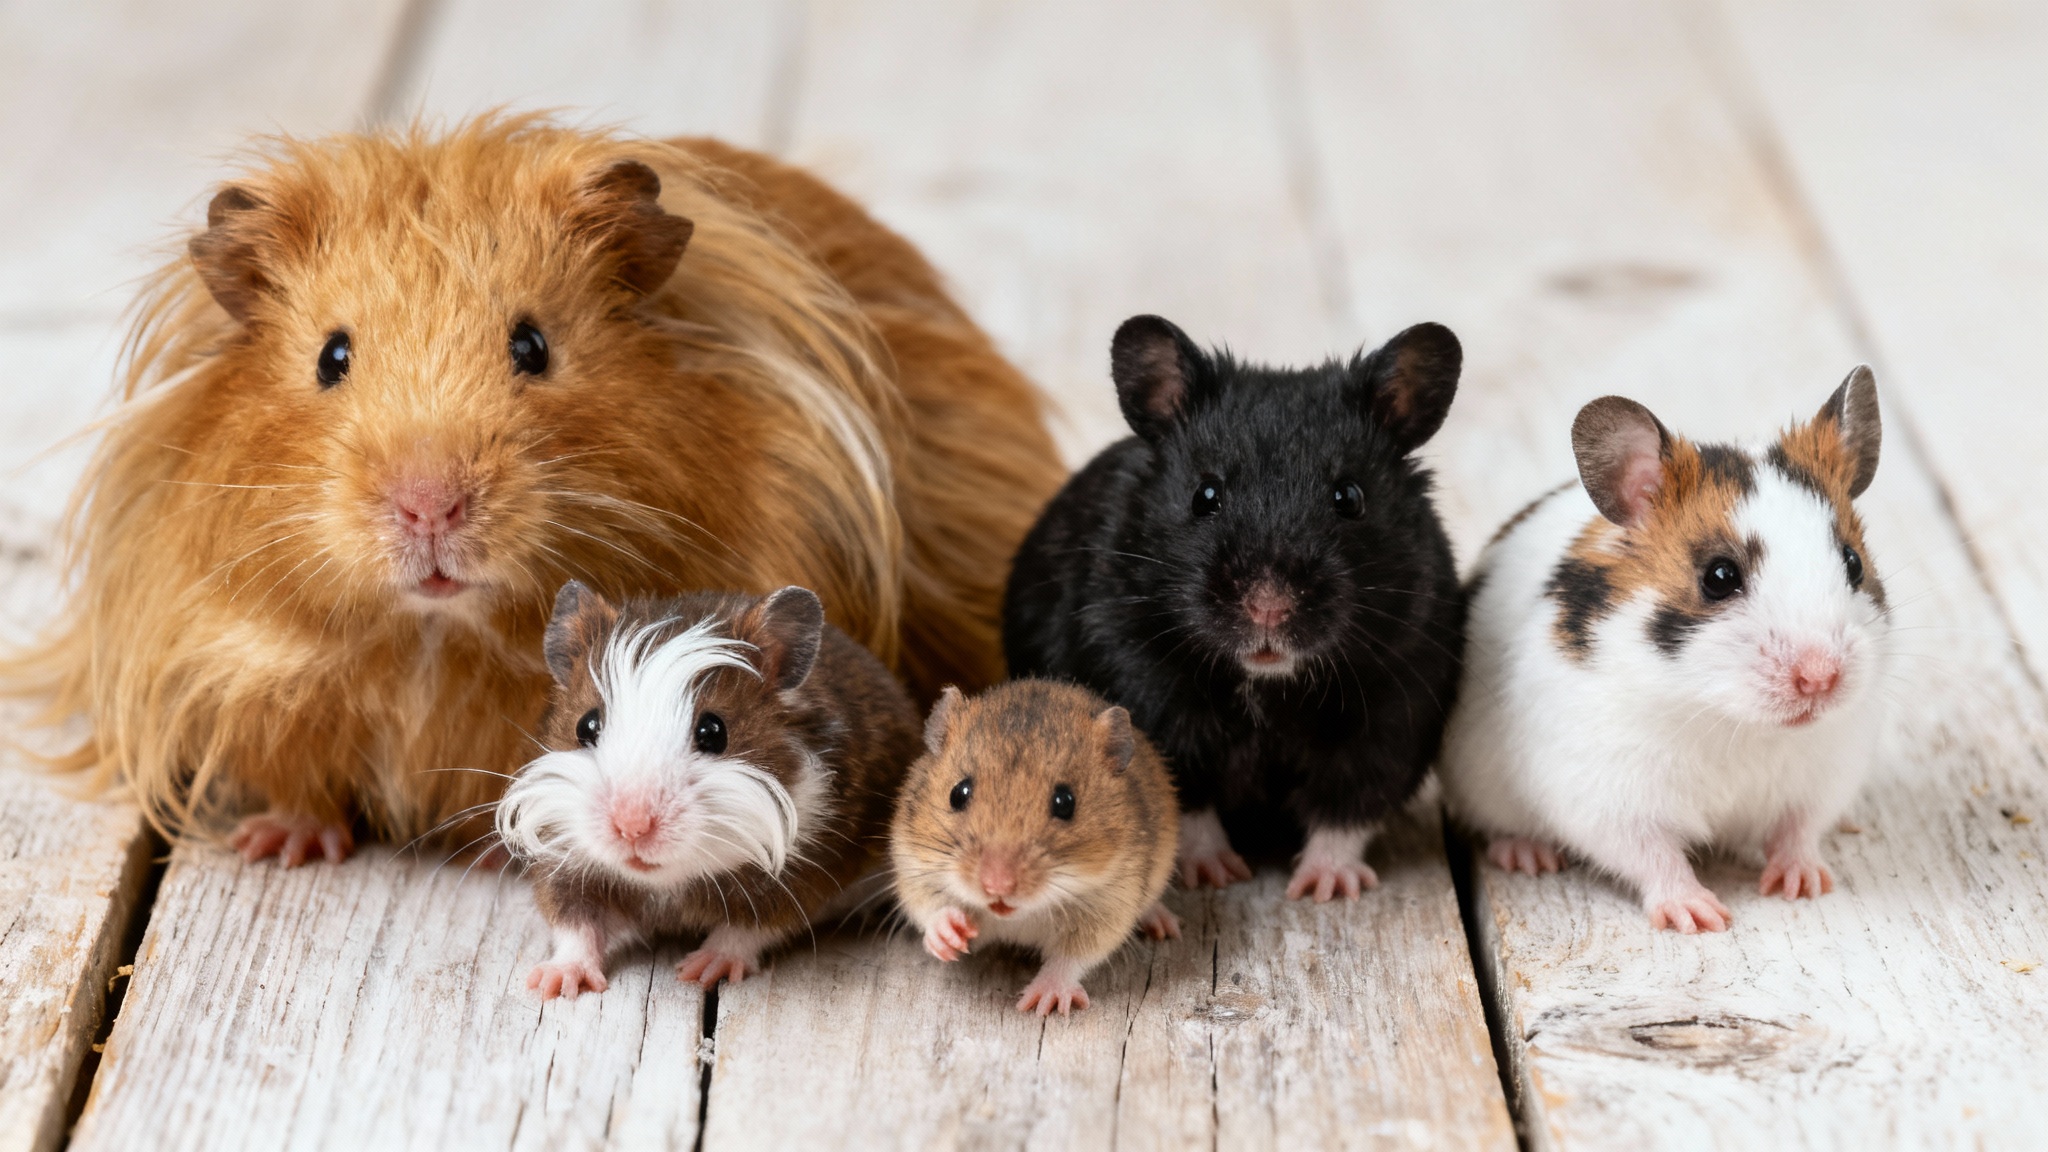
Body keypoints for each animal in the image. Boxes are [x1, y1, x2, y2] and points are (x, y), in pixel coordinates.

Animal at [5, 114, 1059, 863]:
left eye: (532, 346)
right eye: (332, 357)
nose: (429, 505)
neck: (433, 649)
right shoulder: (244, 672)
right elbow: (297, 779)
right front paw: (282, 848)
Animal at [497, 581, 921, 996]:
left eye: (714, 731)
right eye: (586, 725)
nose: (631, 829)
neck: (666, 882)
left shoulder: (803, 872)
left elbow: (746, 929)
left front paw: (699, 971)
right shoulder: (566, 861)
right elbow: (575, 924)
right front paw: (552, 983)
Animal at [892, 679, 1180, 1016]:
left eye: (1065, 802)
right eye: (958, 793)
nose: (997, 886)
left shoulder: (1108, 907)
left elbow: (1069, 960)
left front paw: (1041, 1001)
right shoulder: (911, 863)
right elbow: (929, 907)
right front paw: (950, 937)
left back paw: (1162, 924)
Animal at [1003, 315, 1465, 901]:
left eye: (1350, 497)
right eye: (1204, 495)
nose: (1268, 607)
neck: (1268, 686)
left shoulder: (1394, 708)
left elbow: (1346, 808)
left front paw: (1325, 889)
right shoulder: (1144, 691)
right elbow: (1185, 802)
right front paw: (1213, 876)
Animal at [1439, 370, 1890, 933]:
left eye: (1853, 563)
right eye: (1719, 577)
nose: (1821, 679)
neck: (1731, 720)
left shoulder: (1825, 775)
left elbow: (1797, 832)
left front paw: (1803, 886)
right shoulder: (1607, 795)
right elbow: (1654, 856)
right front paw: (1701, 917)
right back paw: (1529, 856)